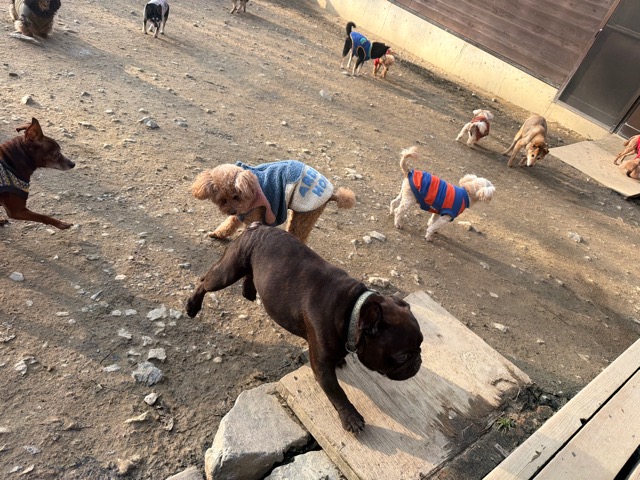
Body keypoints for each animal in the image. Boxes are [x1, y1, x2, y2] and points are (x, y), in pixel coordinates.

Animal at [186, 223, 423, 432]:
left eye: (421, 345)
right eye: (403, 356)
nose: (418, 362)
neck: (352, 309)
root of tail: (257, 226)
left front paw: (341, 360)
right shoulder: (321, 367)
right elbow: (337, 393)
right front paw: (351, 418)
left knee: (249, 275)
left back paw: (249, 292)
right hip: (228, 272)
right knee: (205, 281)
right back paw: (192, 306)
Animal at [191, 160, 356, 243]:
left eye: (236, 196)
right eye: (222, 199)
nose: (231, 210)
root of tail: (332, 194)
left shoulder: (254, 216)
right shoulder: (241, 214)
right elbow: (228, 224)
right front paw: (217, 234)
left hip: (306, 213)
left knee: (300, 235)